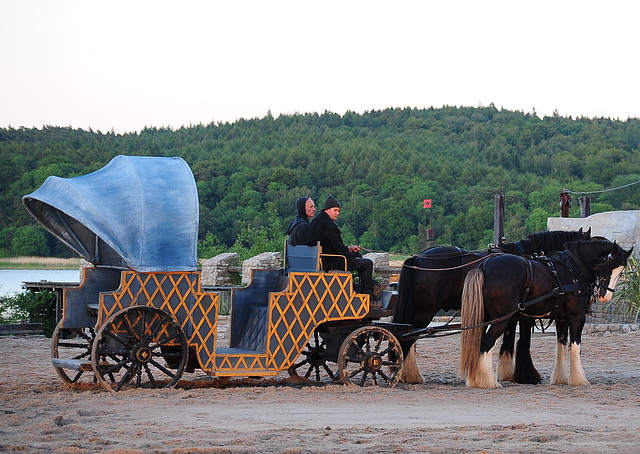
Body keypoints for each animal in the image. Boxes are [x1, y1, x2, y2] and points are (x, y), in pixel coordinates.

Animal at [460, 239, 632, 388]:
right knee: (486, 344)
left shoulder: (561, 319)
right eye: (607, 263)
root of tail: (484, 265)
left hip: (485, 318)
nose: (605, 296)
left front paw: (560, 378)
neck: (573, 268)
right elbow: (575, 346)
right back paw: (488, 381)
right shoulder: (577, 317)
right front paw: (579, 379)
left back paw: (475, 378)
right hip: (501, 320)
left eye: (621, 272)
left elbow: (561, 346)